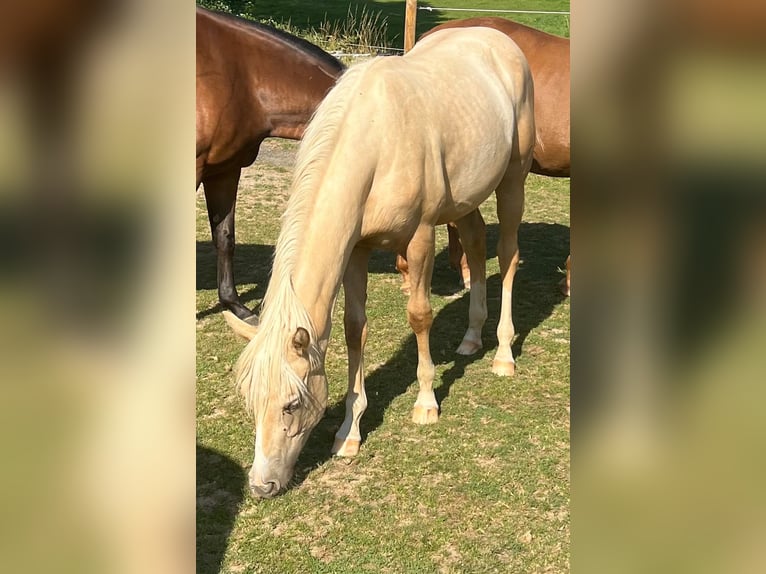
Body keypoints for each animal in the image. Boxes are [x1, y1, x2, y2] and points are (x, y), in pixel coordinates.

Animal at [223, 27, 536, 498]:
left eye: (292, 404)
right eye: (251, 400)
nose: (263, 486)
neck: (375, 139)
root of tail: (501, 40)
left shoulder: (421, 236)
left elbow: (420, 315)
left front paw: (426, 403)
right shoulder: (357, 249)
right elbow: (355, 329)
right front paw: (348, 432)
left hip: (513, 179)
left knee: (509, 256)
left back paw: (502, 354)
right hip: (465, 198)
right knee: (477, 246)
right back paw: (470, 338)